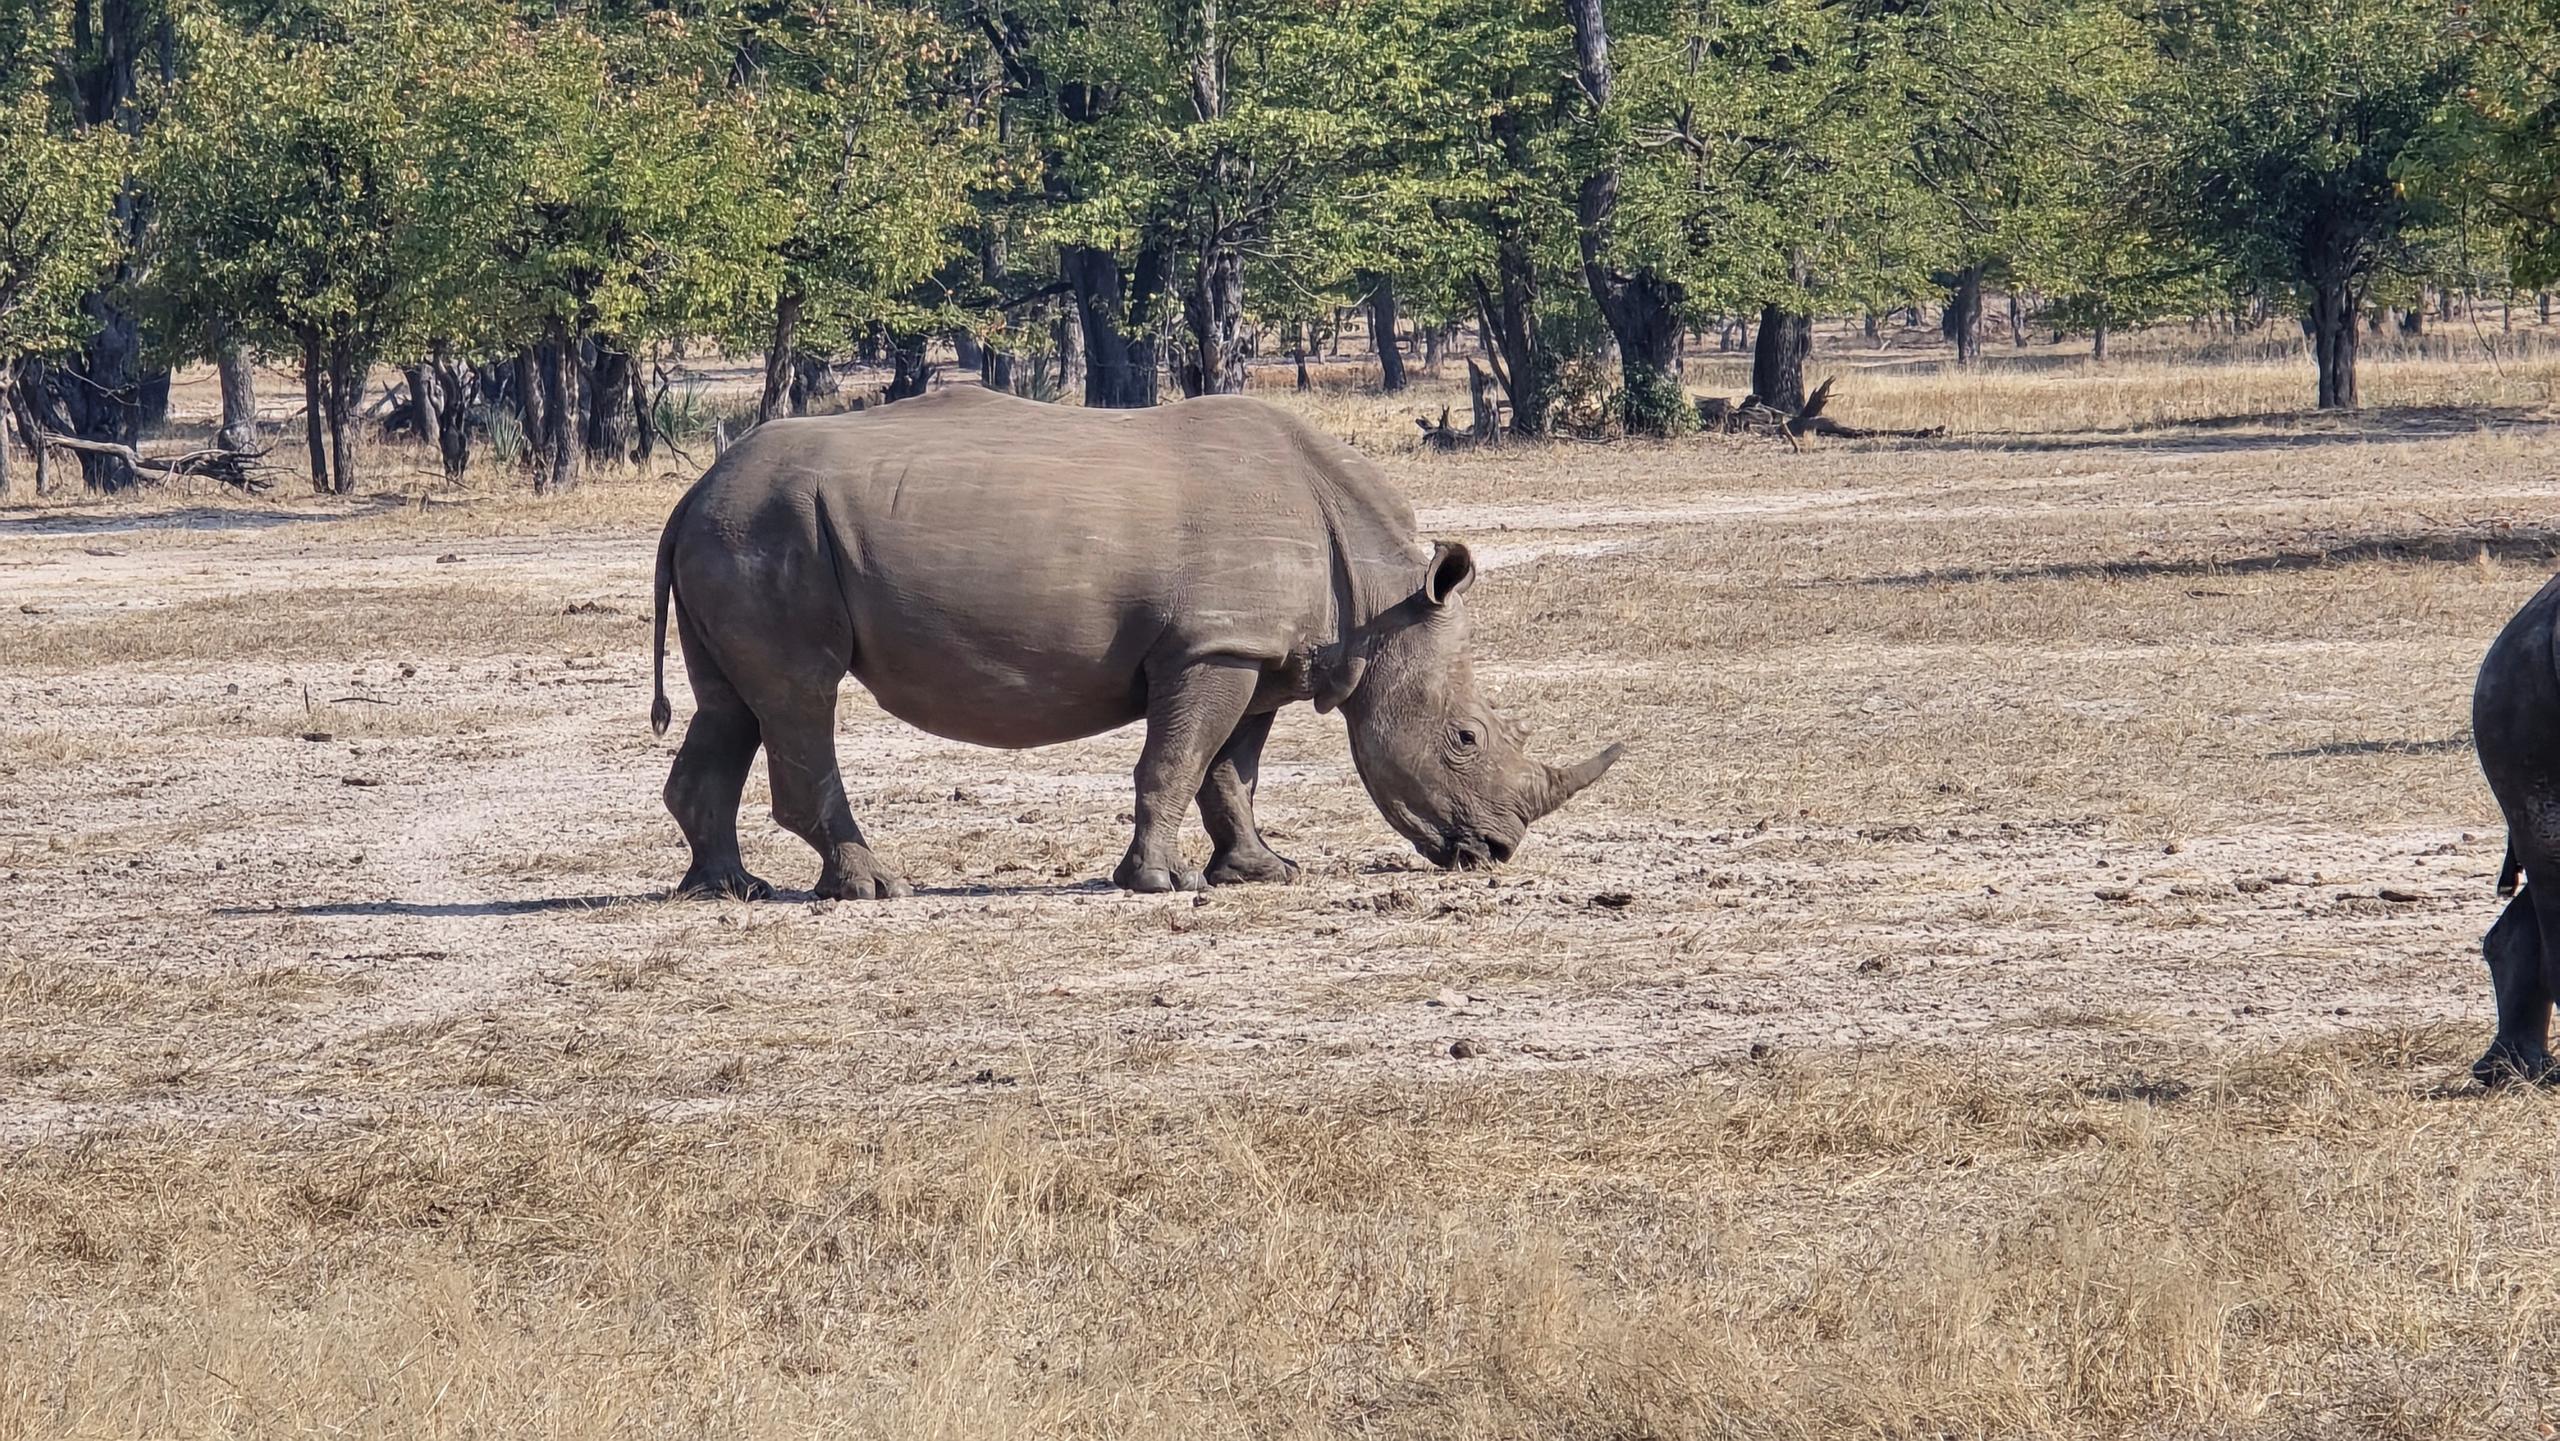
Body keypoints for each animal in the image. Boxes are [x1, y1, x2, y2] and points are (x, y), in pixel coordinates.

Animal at [647, 385, 1624, 900]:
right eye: (1465, 737)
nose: (1495, 854)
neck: (1384, 600)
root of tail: (691, 490)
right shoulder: (1210, 649)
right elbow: (1177, 760)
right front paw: (1162, 884)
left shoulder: (1251, 652)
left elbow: (1230, 772)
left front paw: (1262, 871)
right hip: (769, 530)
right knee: (800, 695)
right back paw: (874, 888)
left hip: (736, 531)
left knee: (733, 704)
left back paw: (728, 889)